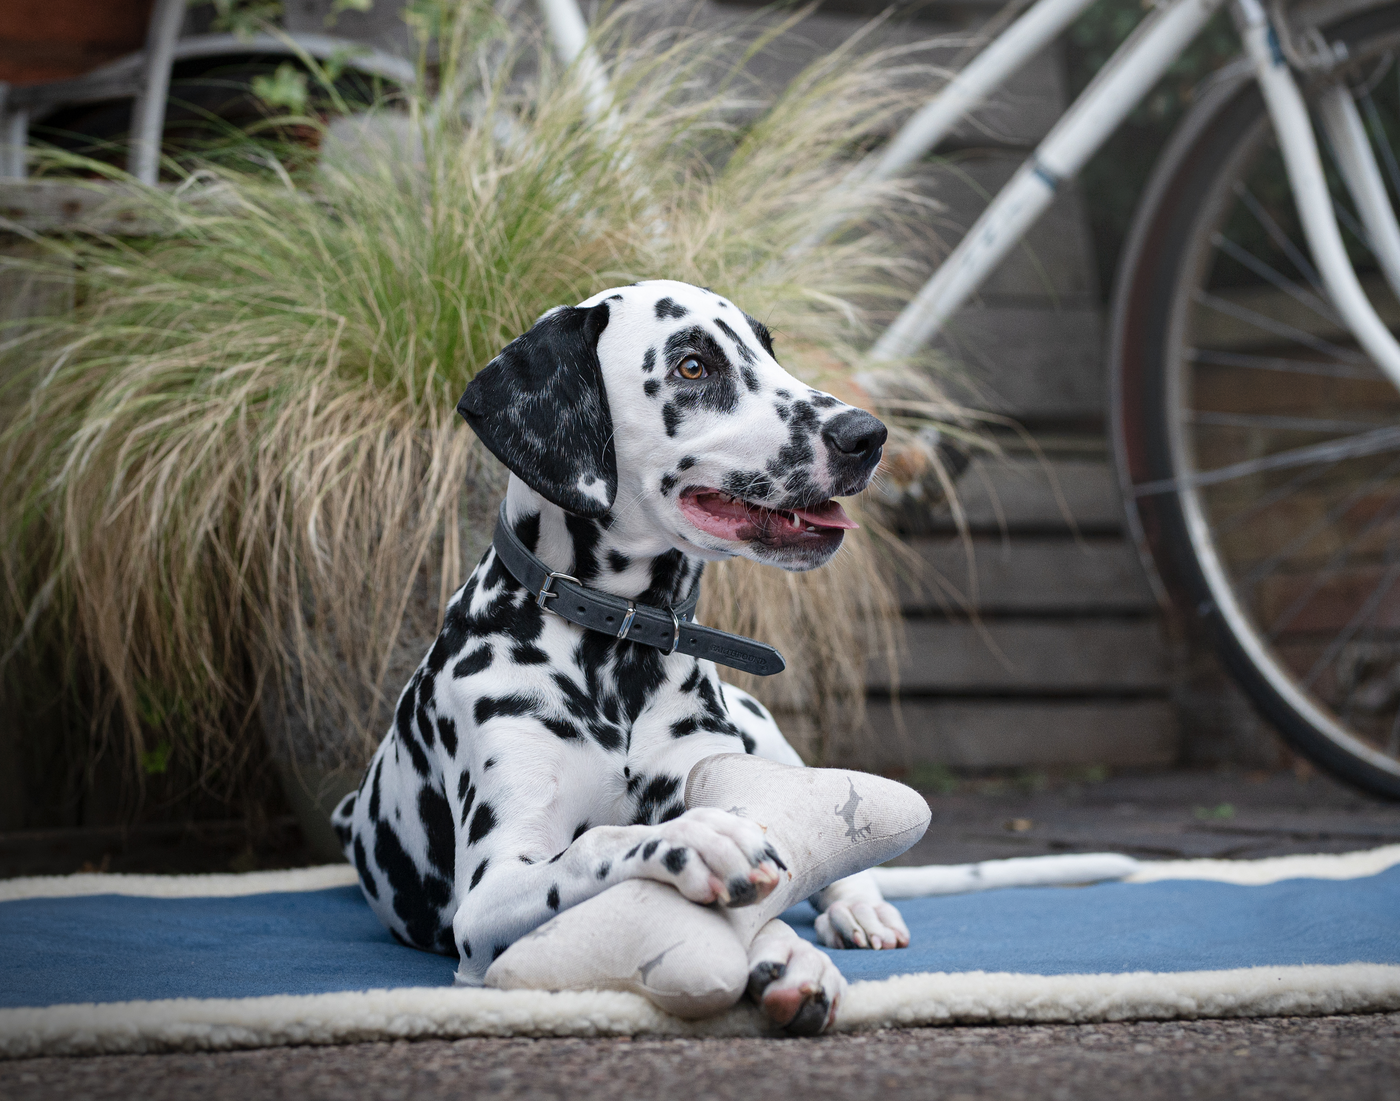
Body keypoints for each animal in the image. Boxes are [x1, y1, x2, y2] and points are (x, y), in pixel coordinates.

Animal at [334, 274, 912, 1030]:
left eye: (768, 348)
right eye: (692, 366)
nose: (865, 434)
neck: (618, 656)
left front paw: (793, 956)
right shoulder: (489, 897)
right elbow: (597, 844)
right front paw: (700, 842)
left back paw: (860, 907)